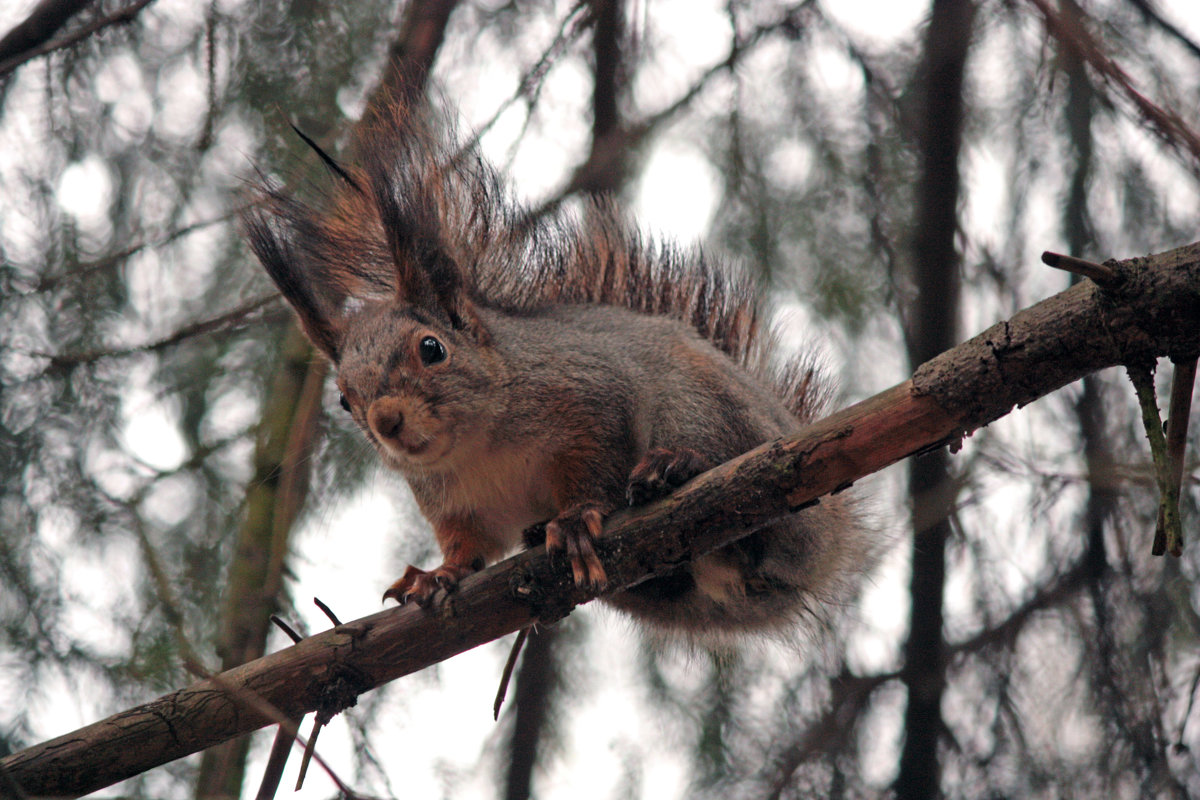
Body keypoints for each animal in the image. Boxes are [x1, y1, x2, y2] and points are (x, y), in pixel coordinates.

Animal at [238, 103, 868, 642]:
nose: (386, 421)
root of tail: (831, 538)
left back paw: (670, 469)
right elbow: (466, 547)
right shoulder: (452, 503)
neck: (478, 447)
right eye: (344, 399)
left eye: (432, 349)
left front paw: (574, 520)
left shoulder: (589, 397)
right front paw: (439, 574)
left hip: (701, 408)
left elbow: (594, 466)